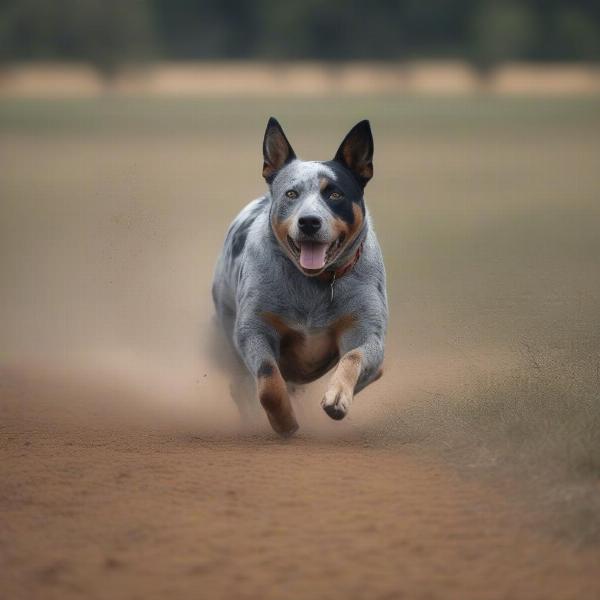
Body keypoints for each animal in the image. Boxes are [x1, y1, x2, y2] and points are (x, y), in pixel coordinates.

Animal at [213, 117, 386, 436]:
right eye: (291, 193)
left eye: (335, 193)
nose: (309, 221)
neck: (315, 283)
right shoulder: (252, 329)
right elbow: (268, 379)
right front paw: (285, 422)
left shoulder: (367, 330)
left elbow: (354, 357)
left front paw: (337, 397)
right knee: (242, 383)